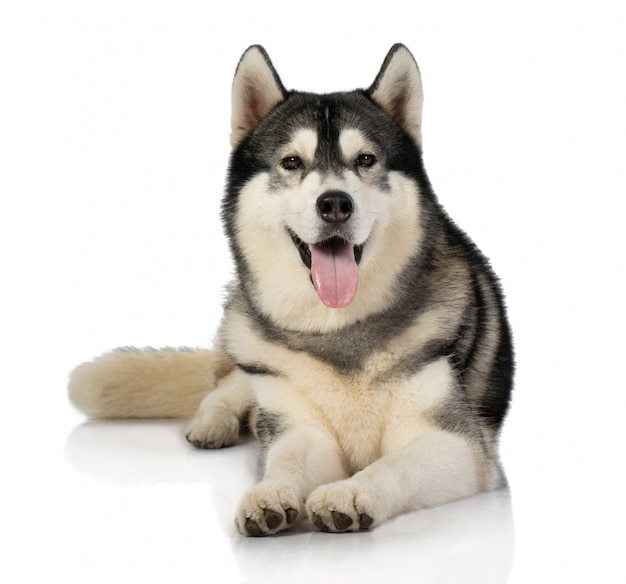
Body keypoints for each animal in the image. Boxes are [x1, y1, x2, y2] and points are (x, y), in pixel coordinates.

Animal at [68, 44, 512, 540]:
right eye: (292, 162)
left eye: (365, 160)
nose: (335, 203)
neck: (337, 328)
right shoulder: (299, 425)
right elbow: (289, 460)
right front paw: (270, 493)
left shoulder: (460, 446)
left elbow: (392, 466)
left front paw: (350, 491)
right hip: (244, 335)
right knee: (224, 386)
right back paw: (213, 423)